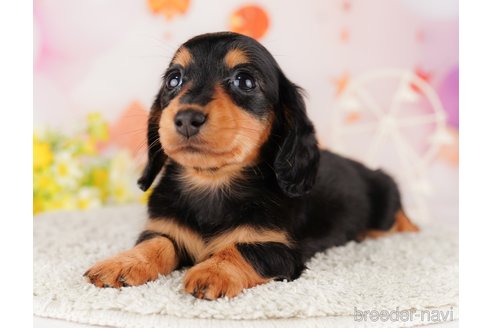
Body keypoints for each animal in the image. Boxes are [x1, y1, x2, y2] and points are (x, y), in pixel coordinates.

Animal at [85, 32, 418, 300]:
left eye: (245, 81)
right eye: (174, 80)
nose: (186, 118)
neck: (212, 183)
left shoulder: (279, 249)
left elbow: (241, 249)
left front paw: (213, 271)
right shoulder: (164, 229)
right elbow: (155, 245)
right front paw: (123, 262)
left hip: (386, 197)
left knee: (399, 218)